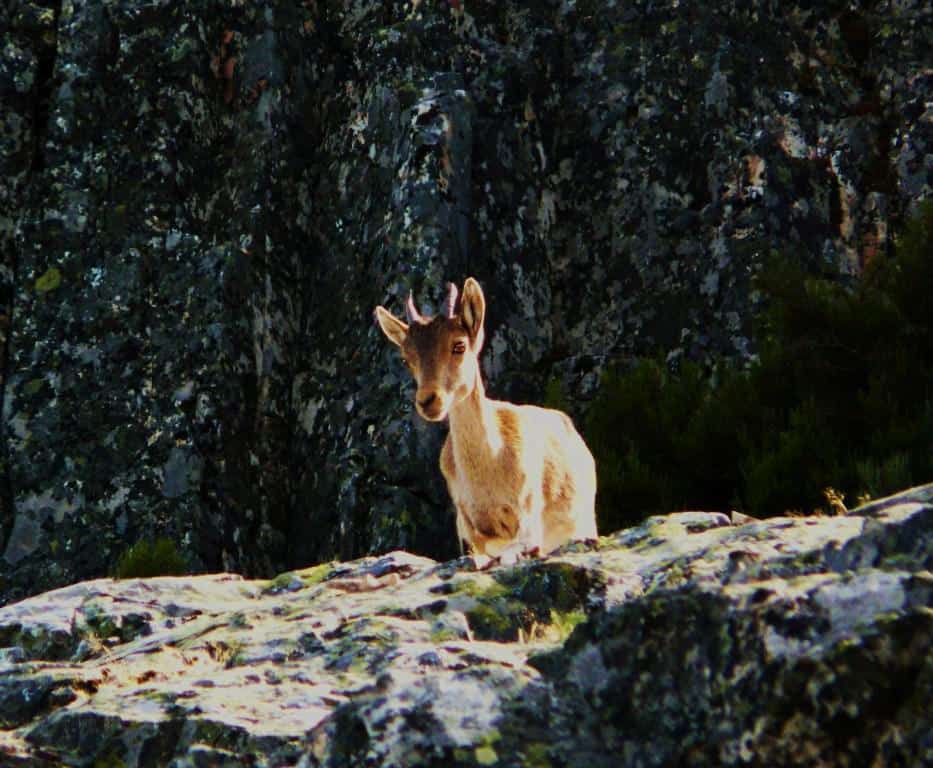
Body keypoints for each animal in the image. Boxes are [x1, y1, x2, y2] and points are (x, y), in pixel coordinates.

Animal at [374, 277, 597, 564]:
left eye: (459, 345)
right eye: (406, 357)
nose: (428, 400)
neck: (491, 467)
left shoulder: (527, 517)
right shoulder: (467, 529)